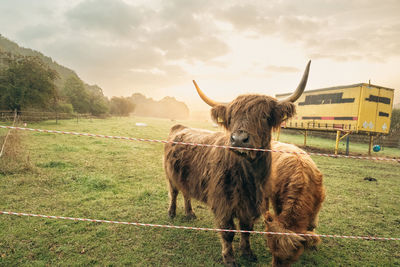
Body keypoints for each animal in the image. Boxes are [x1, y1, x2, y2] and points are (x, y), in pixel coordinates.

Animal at [164, 61, 310, 266]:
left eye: (264, 116)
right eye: (231, 117)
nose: (239, 139)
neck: (249, 175)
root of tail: (179, 127)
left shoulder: (253, 203)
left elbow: (247, 228)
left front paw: (247, 252)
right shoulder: (223, 203)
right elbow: (228, 232)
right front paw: (230, 258)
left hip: (187, 177)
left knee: (186, 193)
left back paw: (190, 213)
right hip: (170, 175)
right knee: (174, 192)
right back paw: (172, 212)